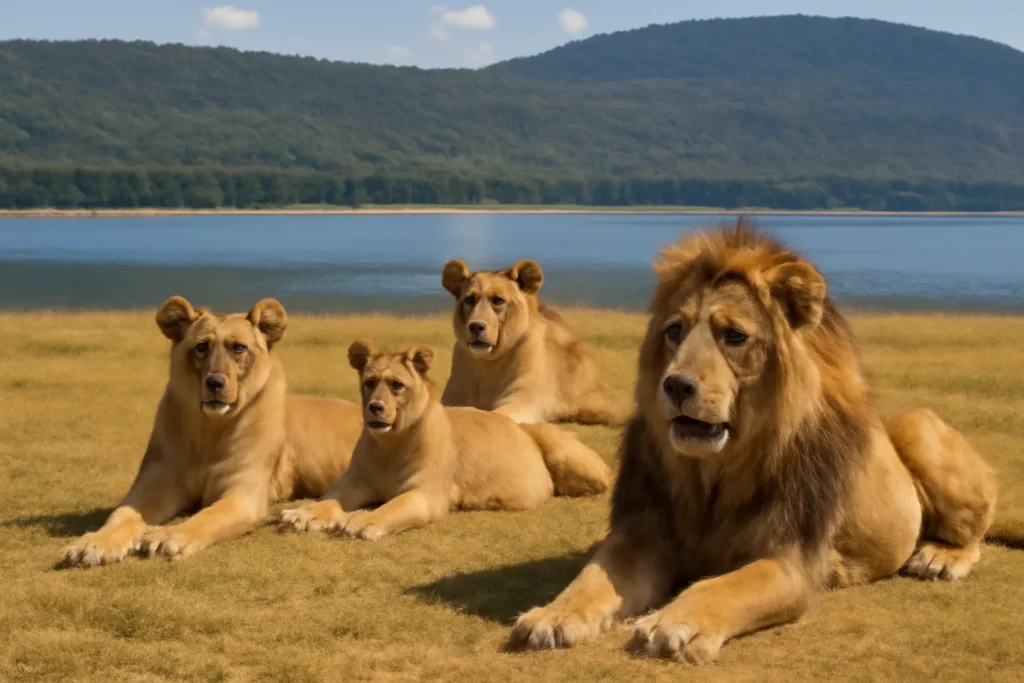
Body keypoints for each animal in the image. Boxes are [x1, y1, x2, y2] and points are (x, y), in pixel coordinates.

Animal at [62, 296, 363, 567]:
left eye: (238, 348)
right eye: (201, 347)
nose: (215, 382)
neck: (211, 429)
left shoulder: (243, 495)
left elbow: (207, 516)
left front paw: (167, 536)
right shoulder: (155, 484)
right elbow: (121, 515)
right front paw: (93, 545)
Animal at [277, 339, 612, 539]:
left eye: (396, 385)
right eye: (370, 382)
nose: (375, 407)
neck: (390, 444)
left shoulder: (427, 495)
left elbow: (392, 506)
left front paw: (361, 520)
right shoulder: (354, 482)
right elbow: (328, 500)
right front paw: (303, 514)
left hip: (553, 440)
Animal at [440, 258, 620, 425]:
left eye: (498, 300)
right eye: (469, 299)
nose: (476, 326)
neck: (488, 364)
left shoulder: (525, 398)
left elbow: (497, 414)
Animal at [510, 222, 1005, 664]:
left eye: (734, 336)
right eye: (675, 331)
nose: (676, 385)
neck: (714, 472)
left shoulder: (792, 562)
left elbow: (723, 586)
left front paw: (674, 622)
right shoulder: (641, 534)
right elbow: (592, 577)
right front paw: (553, 616)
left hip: (918, 427)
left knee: (977, 527)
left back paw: (941, 557)